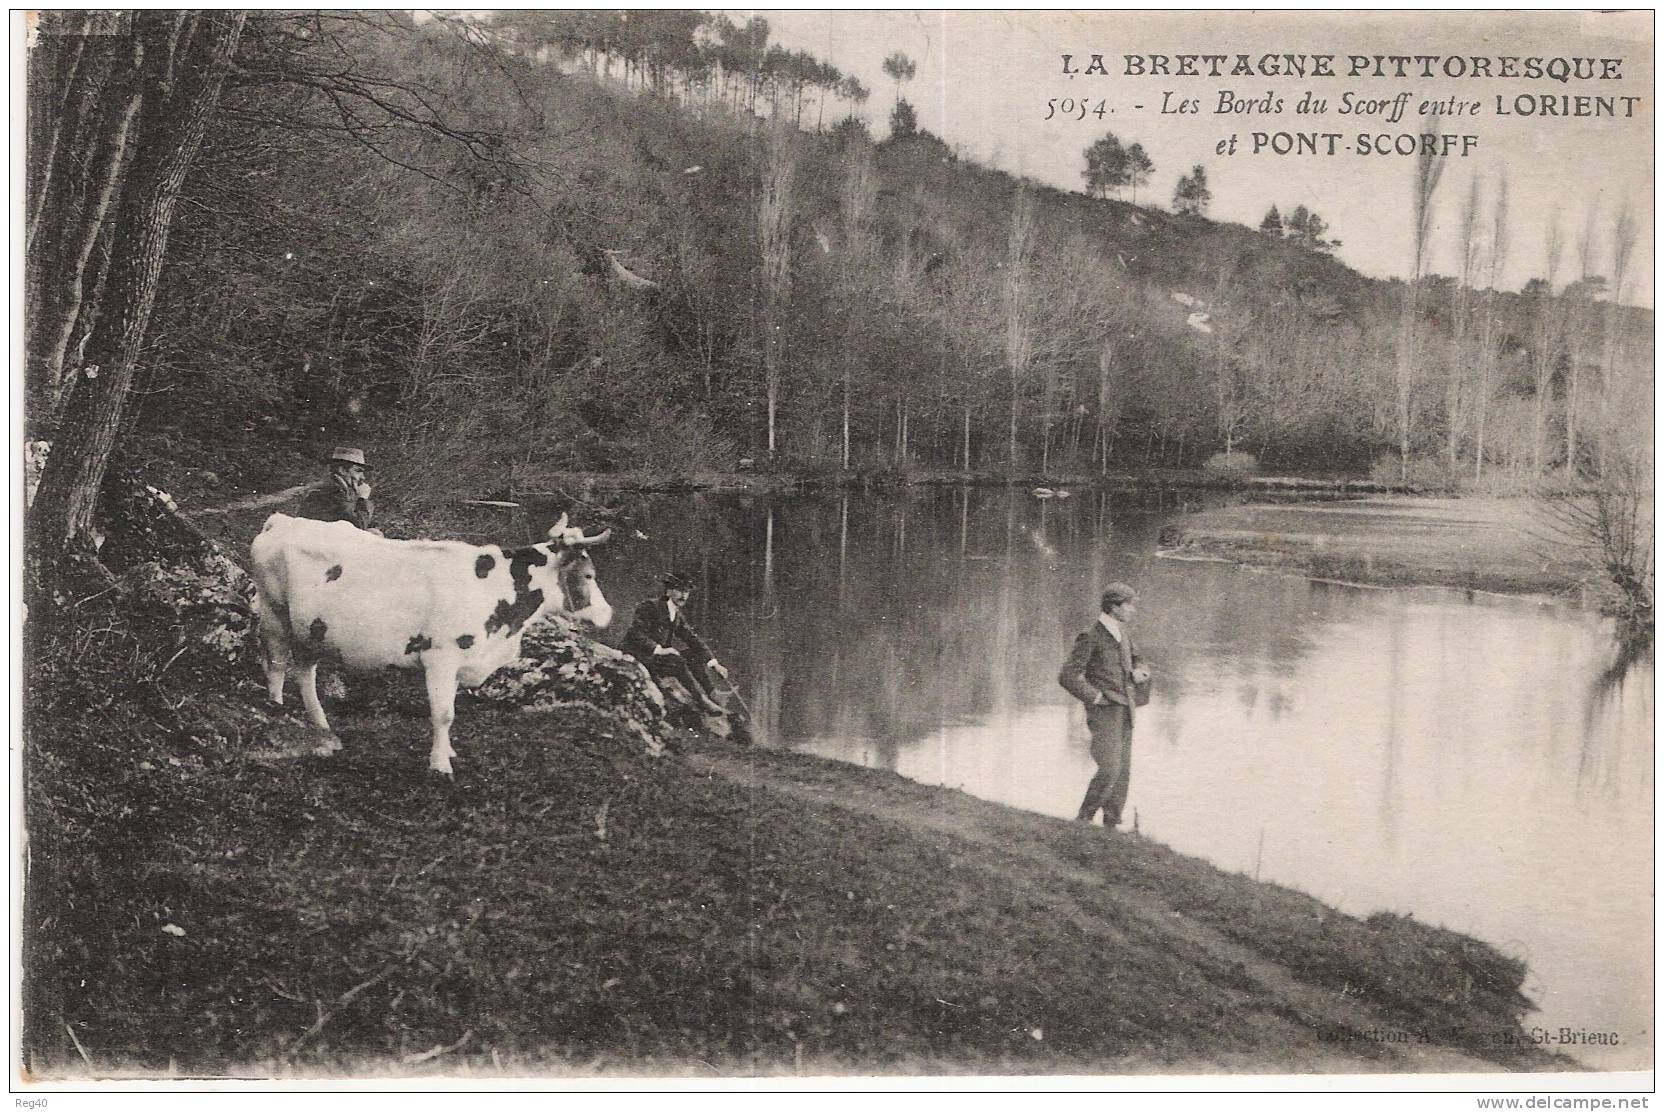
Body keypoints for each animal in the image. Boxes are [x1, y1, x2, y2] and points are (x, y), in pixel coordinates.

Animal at [256, 509, 622, 772]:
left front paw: (448, 751)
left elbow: (451, 710)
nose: (608, 613)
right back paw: (275, 710)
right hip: (273, 613)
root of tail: (282, 520)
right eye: (589, 575)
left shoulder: (462, 662)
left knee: (305, 674)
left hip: (310, 631)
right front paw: (440, 765)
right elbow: (444, 714)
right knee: (276, 664)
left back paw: (321, 727)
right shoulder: (441, 657)